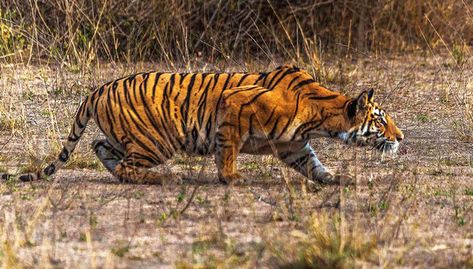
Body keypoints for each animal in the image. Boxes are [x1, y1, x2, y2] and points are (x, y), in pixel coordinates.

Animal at [1, 65, 404, 184]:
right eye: (380, 120)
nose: (401, 137)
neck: (321, 116)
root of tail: (97, 89)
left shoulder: (294, 145)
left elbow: (314, 164)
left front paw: (338, 180)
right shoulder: (234, 108)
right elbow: (227, 152)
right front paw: (232, 179)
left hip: (132, 137)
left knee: (100, 146)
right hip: (156, 140)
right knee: (127, 165)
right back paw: (162, 179)